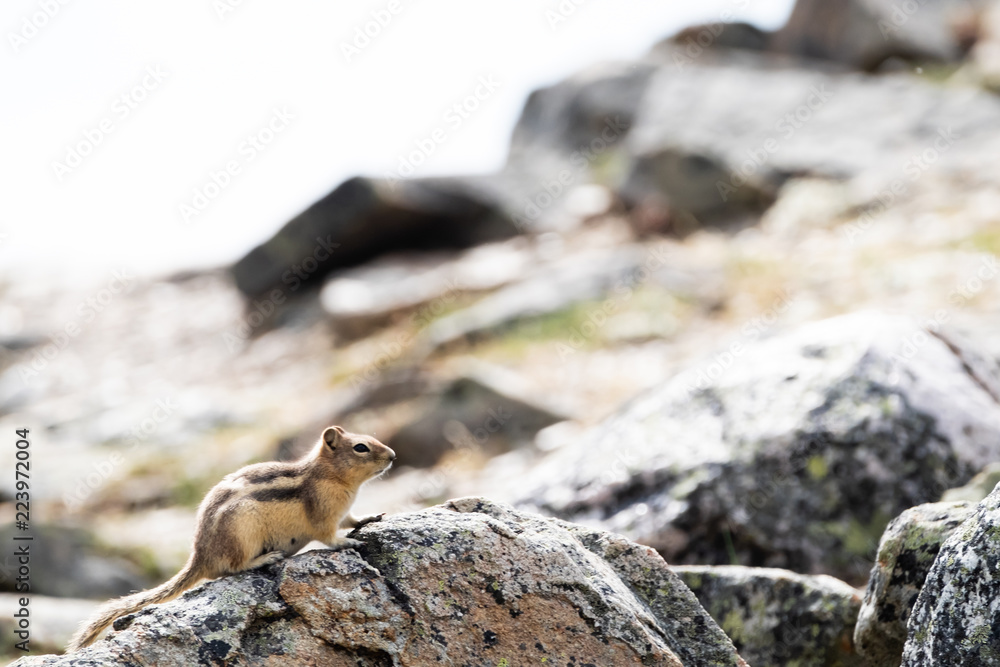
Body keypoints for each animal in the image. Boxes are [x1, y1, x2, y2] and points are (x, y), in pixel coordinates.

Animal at [68, 425, 396, 652]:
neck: (330, 475)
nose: (393, 456)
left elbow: (352, 520)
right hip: (242, 533)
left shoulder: (343, 513)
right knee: (231, 568)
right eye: (361, 447)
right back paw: (265, 558)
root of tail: (199, 557)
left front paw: (370, 518)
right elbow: (329, 536)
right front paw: (348, 543)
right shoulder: (324, 516)